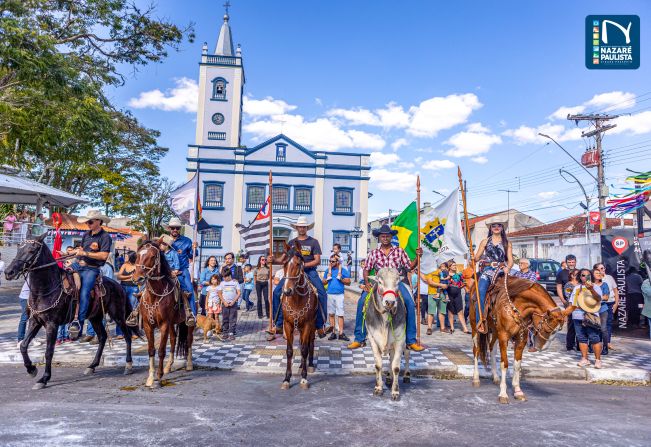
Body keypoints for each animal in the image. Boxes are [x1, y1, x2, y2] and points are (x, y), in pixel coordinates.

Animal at [4, 233, 135, 390]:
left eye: (32, 250)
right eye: (19, 248)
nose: (8, 272)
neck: (46, 289)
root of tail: (118, 285)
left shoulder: (52, 324)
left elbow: (49, 351)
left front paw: (44, 378)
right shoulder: (35, 321)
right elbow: (23, 345)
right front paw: (31, 369)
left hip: (118, 315)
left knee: (127, 336)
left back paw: (128, 365)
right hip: (95, 317)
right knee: (103, 337)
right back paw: (92, 366)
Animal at [132, 242, 194, 388]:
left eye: (152, 256)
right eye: (137, 255)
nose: (138, 278)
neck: (154, 296)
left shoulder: (164, 324)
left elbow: (161, 350)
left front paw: (159, 376)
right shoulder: (148, 325)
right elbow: (151, 350)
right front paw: (150, 378)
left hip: (188, 323)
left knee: (189, 340)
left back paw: (189, 364)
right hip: (172, 323)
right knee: (173, 340)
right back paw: (168, 366)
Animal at [282, 240, 320, 390]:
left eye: (298, 264)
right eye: (284, 264)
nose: (287, 291)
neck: (297, 299)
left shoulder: (308, 324)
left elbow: (304, 349)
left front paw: (304, 378)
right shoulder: (288, 324)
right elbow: (289, 351)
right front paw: (287, 378)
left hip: (313, 324)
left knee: (310, 343)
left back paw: (309, 365)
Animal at [364, 268, 410, 400]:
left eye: (397, 282)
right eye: (379, 282)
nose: (390, 302)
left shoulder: (400, 340)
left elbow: (396, 367)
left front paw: (395, 392)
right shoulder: (372, 339)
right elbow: (378, 365)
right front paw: (378, 388)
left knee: (406, 355)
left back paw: (406, 375)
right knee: (390, 358)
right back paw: (389, 378)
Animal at [464, 268, 576, 404]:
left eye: (557, 330)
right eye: (548, 329)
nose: (542, 348)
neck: (517, 306)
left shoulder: (521, 338)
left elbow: (517, 365)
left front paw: (518, 391)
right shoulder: (504, 336)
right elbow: (505, 364)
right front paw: (503, 394)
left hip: (495, 330)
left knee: (492, 348)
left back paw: (495, 377)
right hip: (475, 327)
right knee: (476, 350)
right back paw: (476, 378)